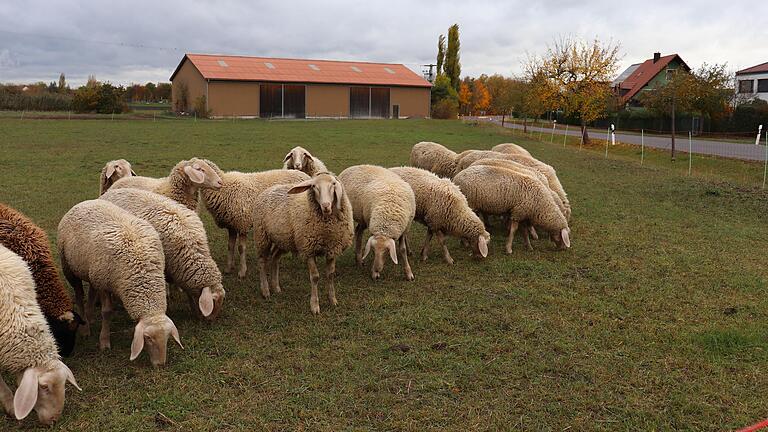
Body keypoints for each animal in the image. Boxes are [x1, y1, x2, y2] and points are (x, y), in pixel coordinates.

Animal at [57, 201, 183, 366]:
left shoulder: (100, 279)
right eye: (148, 338)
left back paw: (89, 318)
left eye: (168, 338)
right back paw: (85, 329)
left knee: (91, 292)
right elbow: (106, 311)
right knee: (79, 295)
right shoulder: (103, 284)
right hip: (70, 268)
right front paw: (104, 342)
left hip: (91, 271)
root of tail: (85, 202)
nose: (160, 365)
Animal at [252, 172, 354, 314]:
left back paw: (276, 287)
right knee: (262, 262)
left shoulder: (332, 248)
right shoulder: (308, 249)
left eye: (333, 184)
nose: (326, 206)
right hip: (262, 236)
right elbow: (315, 277)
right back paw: (266, 291)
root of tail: (268, 189)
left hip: (283, 239)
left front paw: (332, 300)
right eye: (313, 186)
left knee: (275, 258)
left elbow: (330, 275)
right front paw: (315, 306)